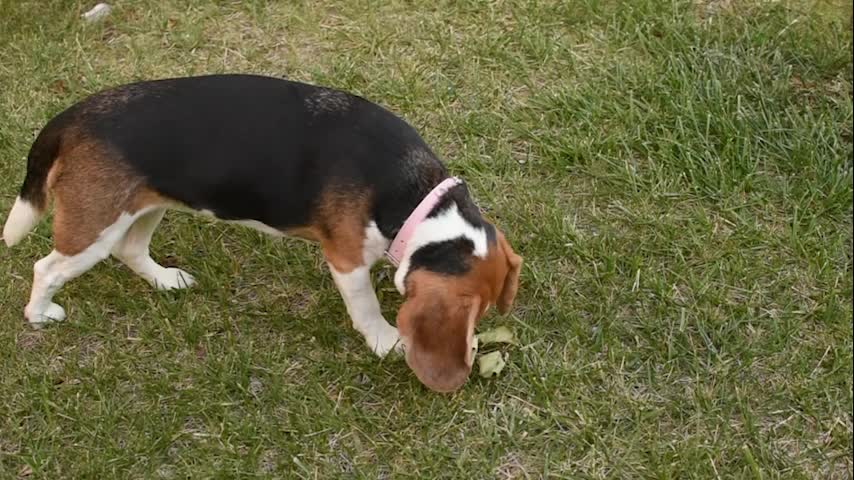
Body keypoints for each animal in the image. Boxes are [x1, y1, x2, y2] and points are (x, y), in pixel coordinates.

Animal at [1, 73, 520, 392]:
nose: (474, 349)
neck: (414, 197)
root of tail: (76, 114)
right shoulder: (347, 260)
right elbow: (366, 307)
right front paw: (385, 341)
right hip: (94, 226)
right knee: (47, 267)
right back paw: (39, 314)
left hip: (142, 207)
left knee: (131, 250)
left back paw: (166, 280)